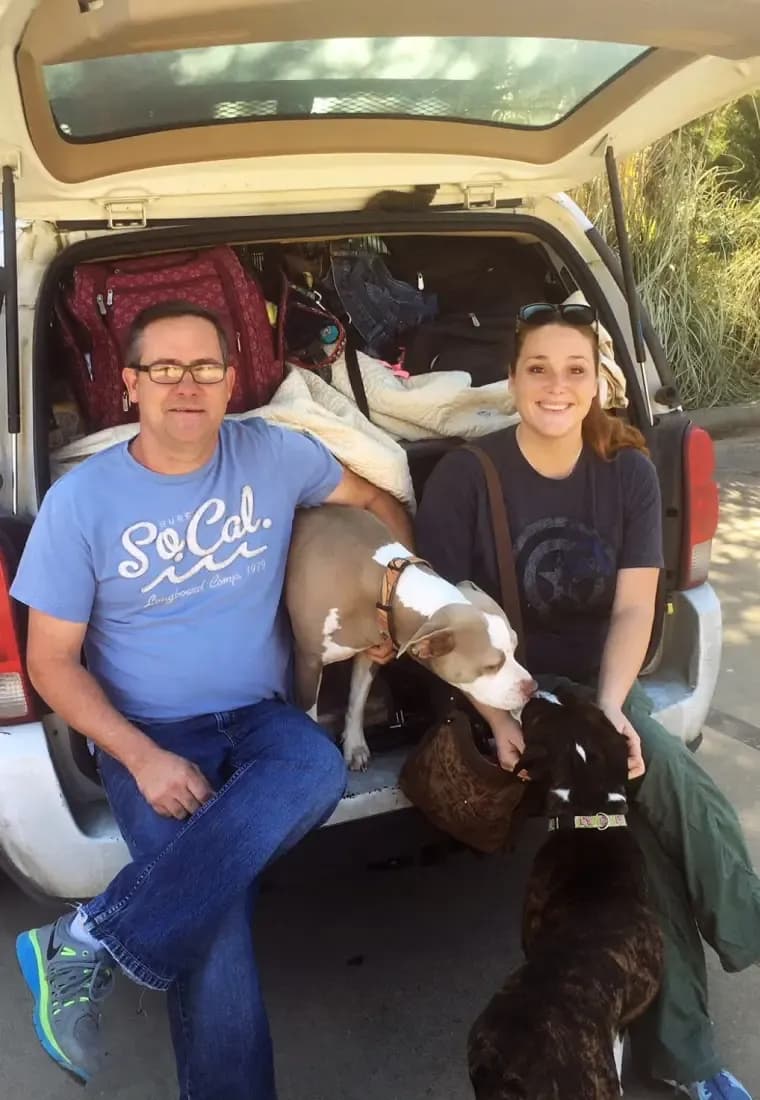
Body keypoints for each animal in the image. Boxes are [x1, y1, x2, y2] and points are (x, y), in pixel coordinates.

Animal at [285, 503, 534, 770]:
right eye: (491, 666)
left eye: (514, 649)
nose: (532, 687)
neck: (389, 586)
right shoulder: (308, 661)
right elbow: (309, 715)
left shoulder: (371, 650)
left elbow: (357, 700)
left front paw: (354, 745)